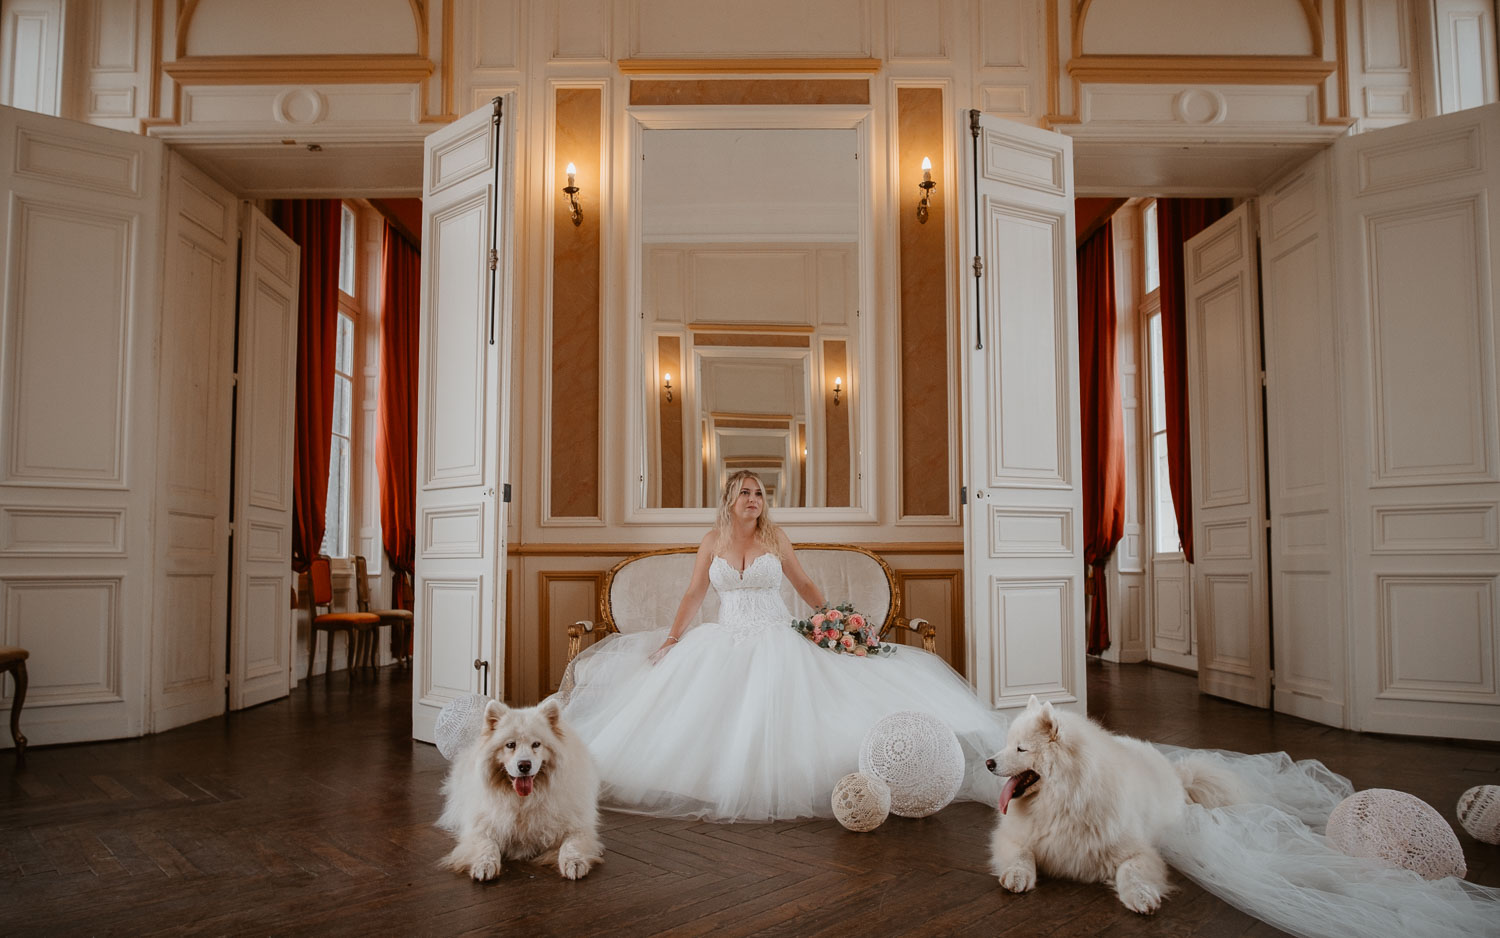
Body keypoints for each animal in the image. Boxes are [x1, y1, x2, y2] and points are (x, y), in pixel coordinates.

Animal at [438, 696, 600, 876]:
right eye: (510, 745)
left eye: (536, 744)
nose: (524, 765)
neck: (523, 802)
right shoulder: (480, 828)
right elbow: (487, 845)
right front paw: (484, 865)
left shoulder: (578, 828)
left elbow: (571, 844)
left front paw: (575, 863)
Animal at [984, 690, 1242, 912]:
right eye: (1008, 744)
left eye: (1021, 749)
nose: (989, 763)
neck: (1063, 800)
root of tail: (1177, 773)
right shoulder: (1013, 836)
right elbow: (1021, 854)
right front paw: (1017, 876)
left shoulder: (1137, 850)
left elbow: (1131, 870)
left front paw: (1141, 896)